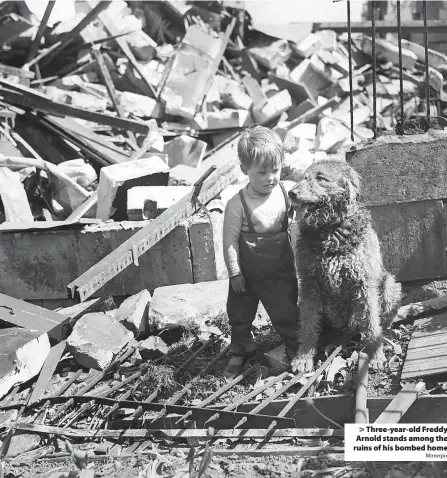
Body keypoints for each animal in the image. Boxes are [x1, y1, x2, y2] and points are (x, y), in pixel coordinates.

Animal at [288, 159, 404, 372]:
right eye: (303, 177)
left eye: (321, 177)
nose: (292, 193)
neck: (331, 231)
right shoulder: (309, 284)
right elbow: (308, 323)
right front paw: (303, 357)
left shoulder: (364, 282)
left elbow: (371, 322)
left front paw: (375, 355)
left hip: (389, 285)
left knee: (380, 321)